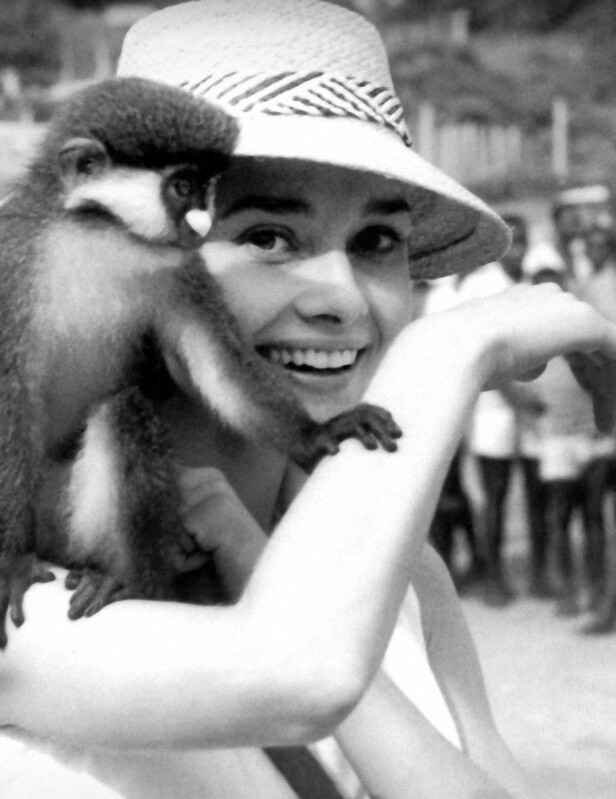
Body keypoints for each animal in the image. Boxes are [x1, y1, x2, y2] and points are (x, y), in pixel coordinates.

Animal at [0, 77, 401, 646]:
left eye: (206, 185)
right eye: (183, 186)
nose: (203, 224)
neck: (97, 238)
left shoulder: (181, 272)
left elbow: (219, 364)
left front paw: (318, 432)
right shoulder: (12, 269)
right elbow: (8, 397)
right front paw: (10, 563)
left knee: (124, 414)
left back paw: (130, 578)